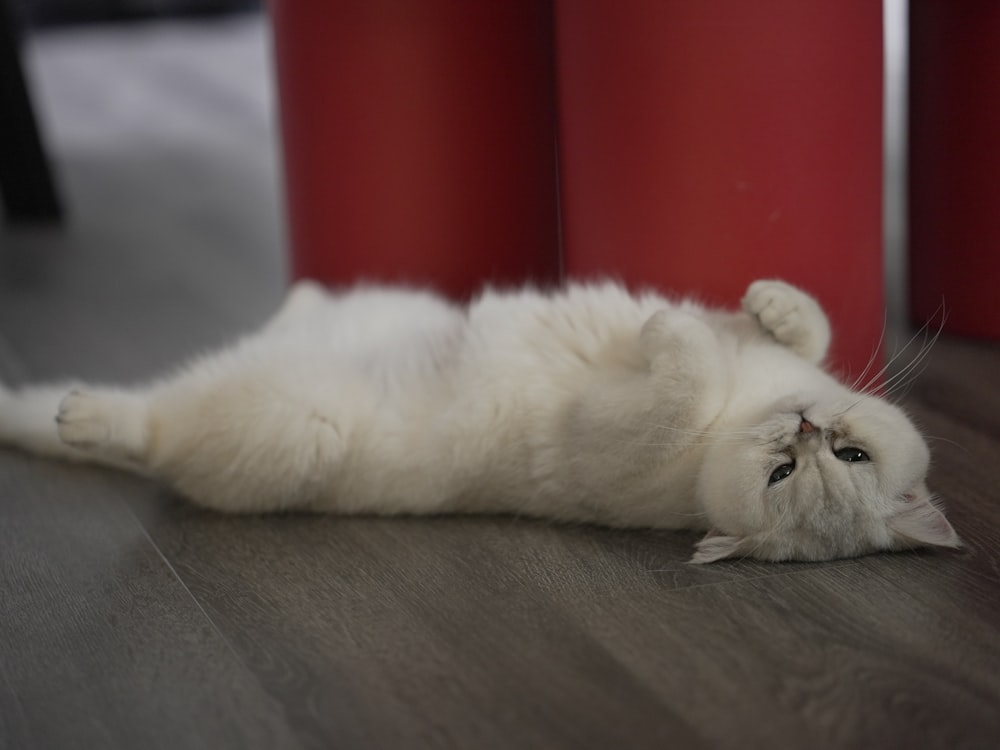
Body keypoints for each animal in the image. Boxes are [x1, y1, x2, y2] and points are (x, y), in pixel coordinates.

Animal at [0, 282, 956, 564]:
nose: (802, 432)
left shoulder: (612, 437)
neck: (746, 404)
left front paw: (666, 332)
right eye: (848, 451)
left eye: (785, 478)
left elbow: (682, 376)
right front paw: (766, 306)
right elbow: (807, 325)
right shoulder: (776, 357)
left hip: (291, 427)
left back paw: (86, 416)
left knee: (151, 429)